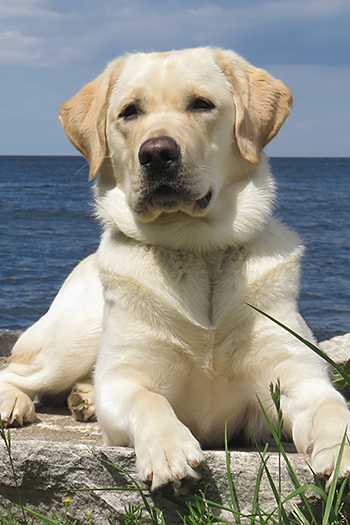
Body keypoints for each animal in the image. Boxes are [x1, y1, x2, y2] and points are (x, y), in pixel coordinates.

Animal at [0, 47, 350, 490]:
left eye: (201, 104)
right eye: (129, 111)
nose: (156, 153)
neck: (197, 250)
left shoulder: (300, 379)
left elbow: (332, 410)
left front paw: (341, 451)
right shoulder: (127, 380)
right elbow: (147, 399)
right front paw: (169, 450)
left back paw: (84, 398)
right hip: (72, 340)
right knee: (17, 373)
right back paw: (15, 404)